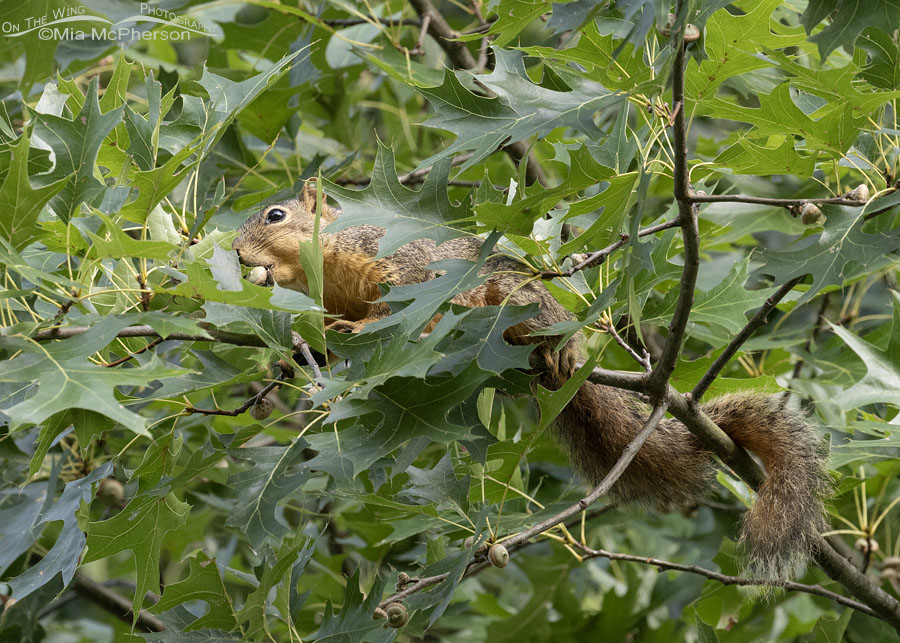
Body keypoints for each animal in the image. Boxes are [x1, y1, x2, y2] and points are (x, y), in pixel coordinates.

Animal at [232, 180, 828, 580]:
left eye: (276, 215)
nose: (236, 255)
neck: (324, 267)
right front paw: (296, 356)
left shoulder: (402, 266)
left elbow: (398, 311)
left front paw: (361, 326)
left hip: (521, 296)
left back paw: (556, 351)